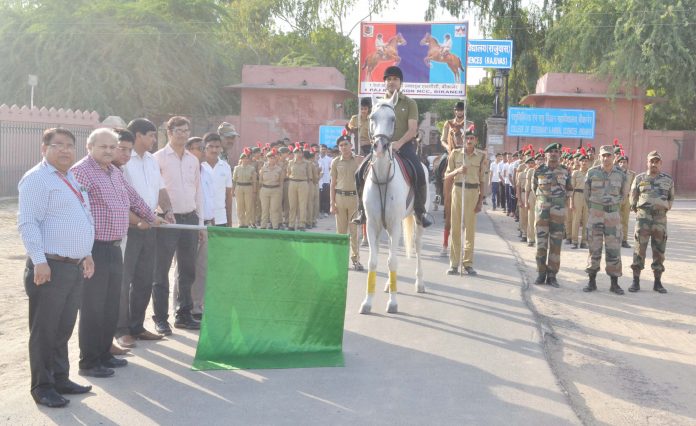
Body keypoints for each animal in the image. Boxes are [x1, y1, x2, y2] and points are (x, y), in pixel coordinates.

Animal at [362, 91, 426, 314]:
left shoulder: (395, 224)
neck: (382, 175)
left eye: (392, 119)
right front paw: (367, 302)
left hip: (416, 219)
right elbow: (374, 262)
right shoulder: (372, 225)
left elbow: (393, 262)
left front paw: (393, 302)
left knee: (417, 246)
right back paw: (389, 285)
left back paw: (420, 283)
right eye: (372, 117)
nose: (379, 147)